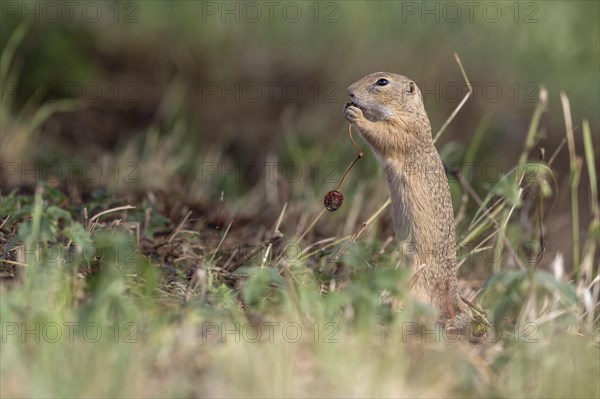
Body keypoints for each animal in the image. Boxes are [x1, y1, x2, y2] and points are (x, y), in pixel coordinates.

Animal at [342, 71, 474, 332]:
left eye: (382, 82)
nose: (349, 91)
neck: (410, 112)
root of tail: (452, 290)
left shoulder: (403, 131)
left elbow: (383, 135)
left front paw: (357, 115)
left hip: (416, 275)